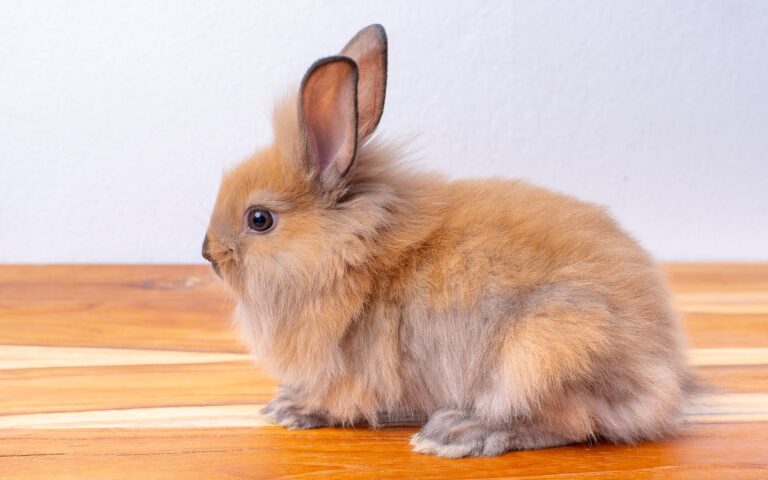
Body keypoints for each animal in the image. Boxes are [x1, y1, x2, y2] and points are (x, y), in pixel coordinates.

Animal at [202, 24, 694, 458]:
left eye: (259, 219)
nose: (208, 253)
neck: (349, 249)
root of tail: (660, 375)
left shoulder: (350, 372)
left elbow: (339, 400)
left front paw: (291, 408)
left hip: (545, 352)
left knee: (564, 422)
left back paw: (457, 432)